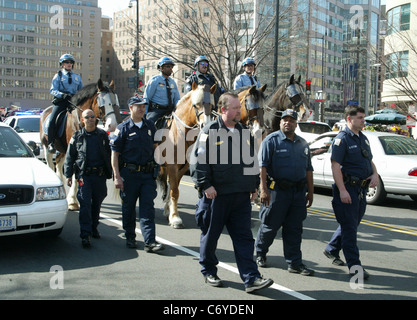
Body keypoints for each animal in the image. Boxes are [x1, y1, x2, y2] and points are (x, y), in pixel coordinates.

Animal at [39, 79, 120, 210]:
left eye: (115, 102)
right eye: (102, 102)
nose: (112, 125)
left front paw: (73, 199)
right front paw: (72, 201)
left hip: (62, 149)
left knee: (59, 163)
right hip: (46, 147)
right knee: (51, 164)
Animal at [154, 82, 216, 228]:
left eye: (211, 106)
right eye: (195, 105)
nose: (205, 125)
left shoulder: (182, 168)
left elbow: (174, 189)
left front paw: (171, 213)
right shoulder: (172, 166)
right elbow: (174, 191)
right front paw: (175, 218)